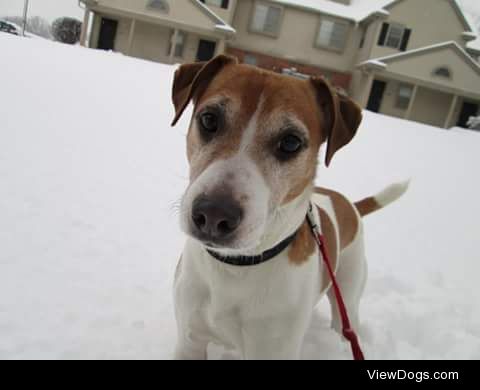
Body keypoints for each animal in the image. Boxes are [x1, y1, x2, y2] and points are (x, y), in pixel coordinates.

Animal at [171, 54, 406, 360]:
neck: (236, 267)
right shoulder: (190, 339)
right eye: (209, 119)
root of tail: (347, 203)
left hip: (347, 293)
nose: (213, 214)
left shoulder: (274, 348)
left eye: (291, 142)